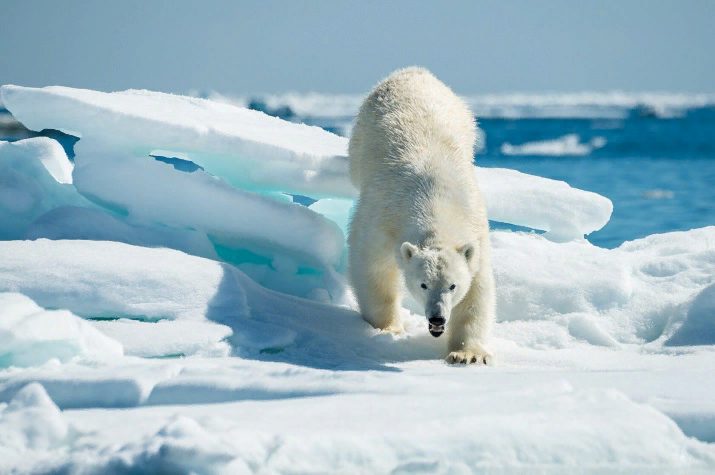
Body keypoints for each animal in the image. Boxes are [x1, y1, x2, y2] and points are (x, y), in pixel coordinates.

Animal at [348, 66, 496, 364]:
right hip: (362, 130)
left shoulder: (475, 227)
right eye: (423, 284)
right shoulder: (383, 218)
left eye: (452, 286)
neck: (435, 199)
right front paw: (388, 328)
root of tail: (414, 72)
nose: (437, 319)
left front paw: (467, 353)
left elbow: (477, 288)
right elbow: (373, 266)